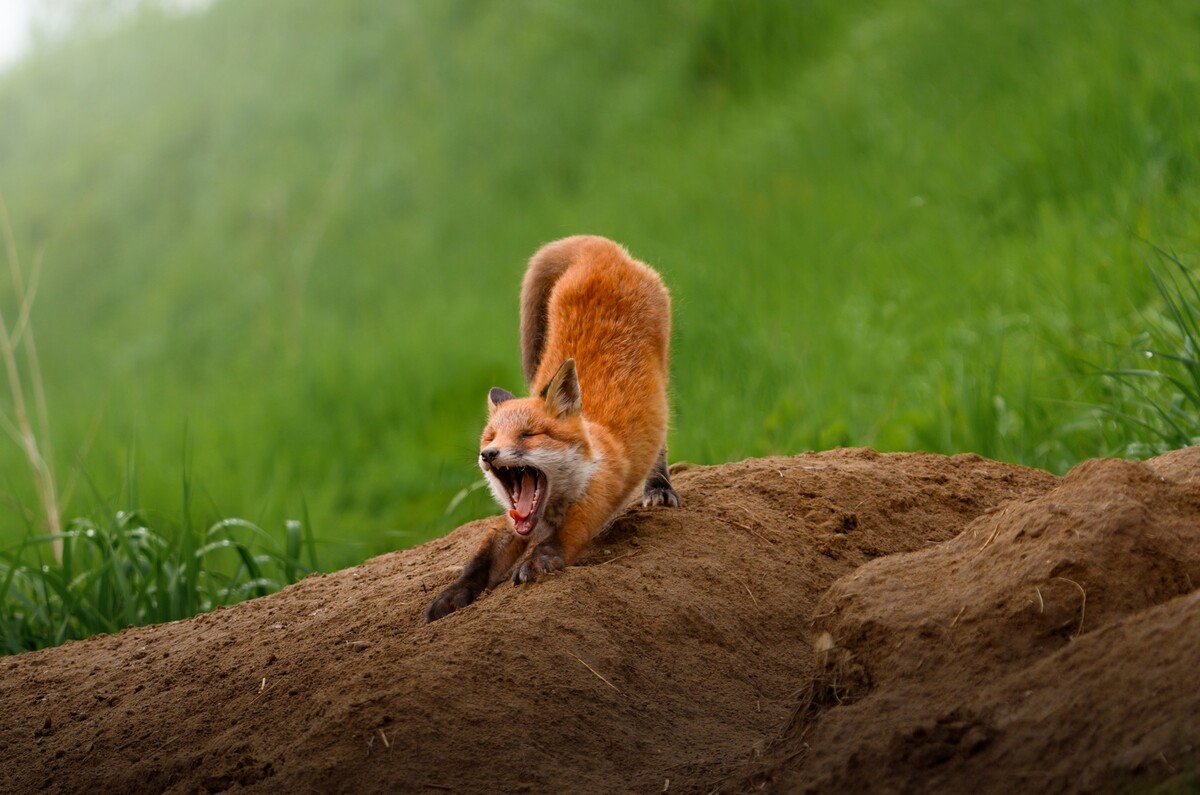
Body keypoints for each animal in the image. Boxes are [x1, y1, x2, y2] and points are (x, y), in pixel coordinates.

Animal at [427, 236, 681, 624]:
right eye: (490, 438)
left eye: (528, 435)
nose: (488, 455)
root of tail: (600, 250)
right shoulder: (510, 522)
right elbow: (479, 562)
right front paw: (453, 594)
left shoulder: (590, 506)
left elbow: (556, 544)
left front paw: (536, 564)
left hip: (663, 378)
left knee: (661, 441)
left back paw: (659, 487)